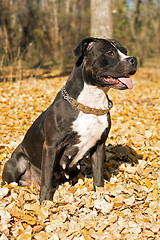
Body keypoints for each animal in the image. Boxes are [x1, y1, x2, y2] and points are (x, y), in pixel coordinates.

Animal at [2, 38, 138, 202]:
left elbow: (98, 175)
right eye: (110, 53)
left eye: (124, 51)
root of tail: (31, 183)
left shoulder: (99, 145)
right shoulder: (51, 146)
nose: (133, 59)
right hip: (16, 163)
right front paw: (45, 203)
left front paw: (99, 195)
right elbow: (46, 179)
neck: (91, 103)